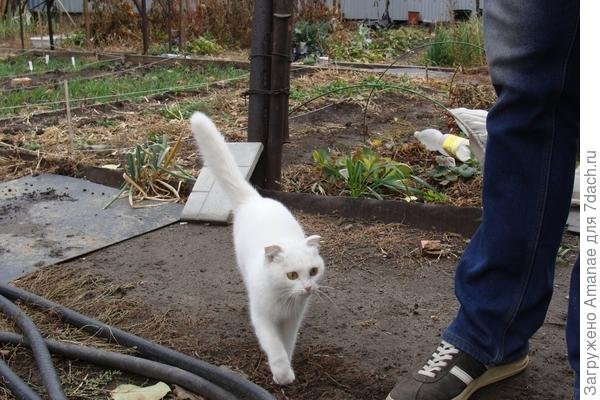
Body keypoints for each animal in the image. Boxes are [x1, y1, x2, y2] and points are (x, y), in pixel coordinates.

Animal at [191, 111, 324, 384]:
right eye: (291, 275)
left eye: (314, 271)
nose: (307, 287)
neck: (285, 300)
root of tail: (256, 199)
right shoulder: (262, 319)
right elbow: (275, 347)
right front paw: (282, 375)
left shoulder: (293, 320)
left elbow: (287, 344)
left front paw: (288, 368)